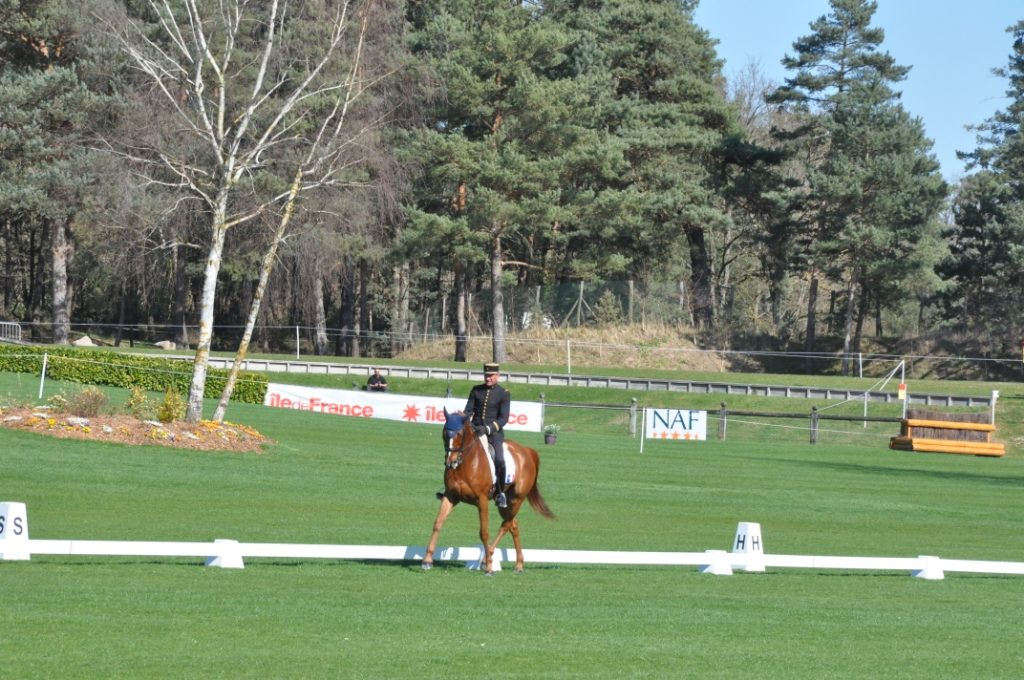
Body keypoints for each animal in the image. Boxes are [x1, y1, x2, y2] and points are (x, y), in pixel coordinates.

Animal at [421, 409, 557, 573]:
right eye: (445, 433)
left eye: (460, 433)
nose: (451, 462)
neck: (466, 462)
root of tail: (527, 451)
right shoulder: (450, 496)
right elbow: (438, 523)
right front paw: (427, 560)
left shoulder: (482, 500)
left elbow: (484, 532)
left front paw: (490, 568)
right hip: (505, 504)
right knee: (513, 525)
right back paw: (518, 564)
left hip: (516, 499)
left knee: (505, 526)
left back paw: (488, 560)